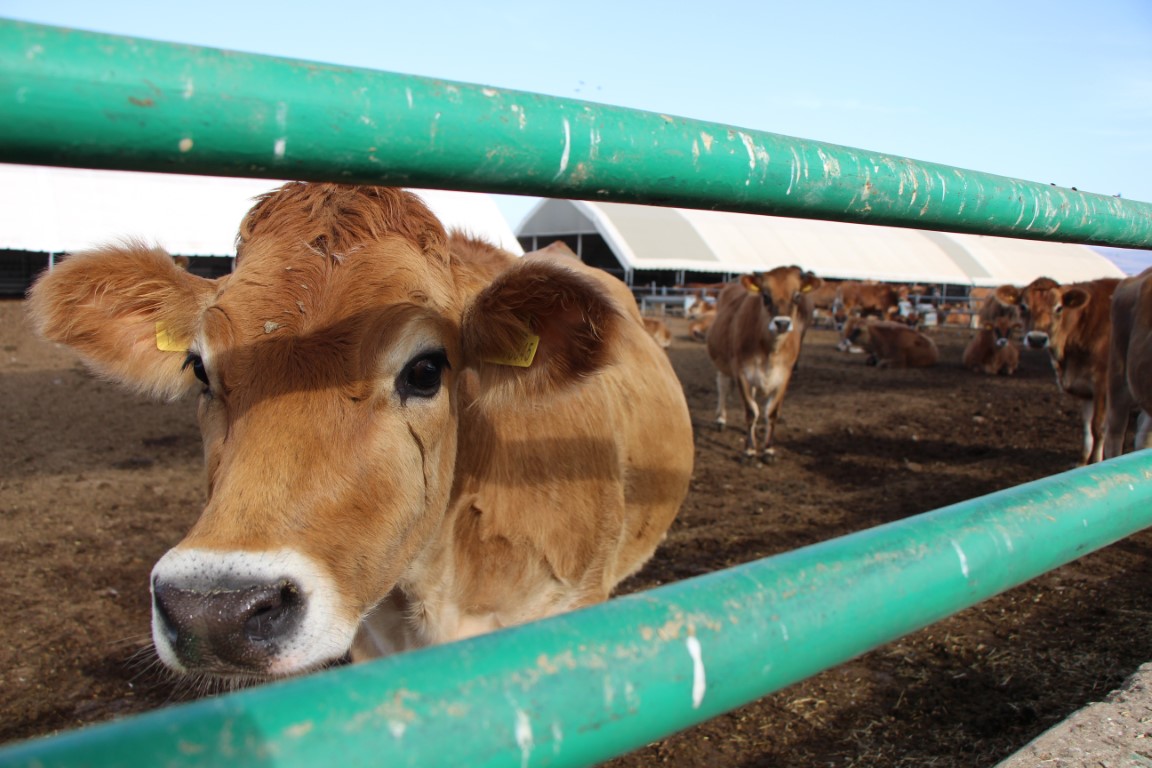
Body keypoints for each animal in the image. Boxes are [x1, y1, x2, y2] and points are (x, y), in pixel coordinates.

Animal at [705, 267, 824, 460]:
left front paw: (768, 449)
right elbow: (751, 411)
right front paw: (750, 449)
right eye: (766, 296)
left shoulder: (785, 376)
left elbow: (772, 413)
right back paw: (721, 418)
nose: (782, 323)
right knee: (723, 387)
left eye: (797, 296)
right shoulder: (741, 373)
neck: (770, 352)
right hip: (722, 362)